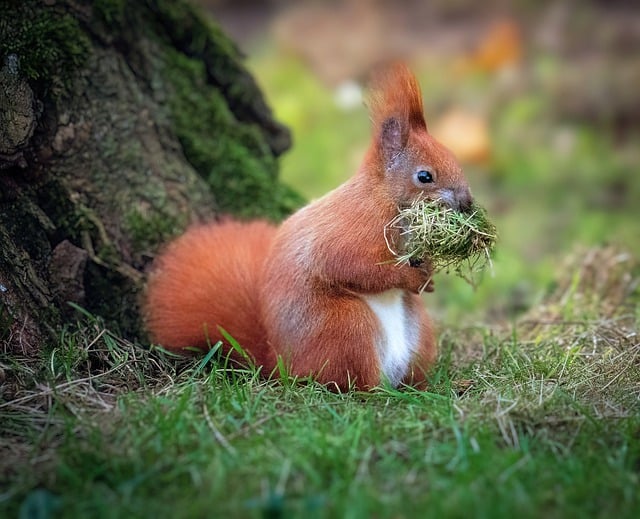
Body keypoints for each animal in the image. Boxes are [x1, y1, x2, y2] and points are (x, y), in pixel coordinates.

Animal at [146, 63, 476, 392]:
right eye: (424, 176)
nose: (466, 202)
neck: (386, 200)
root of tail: (281, 363)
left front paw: (428, 276)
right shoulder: (353, 230)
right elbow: (356, 268)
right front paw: (410, 277)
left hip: (419, 332)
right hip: (347, 327)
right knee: (353, 385)